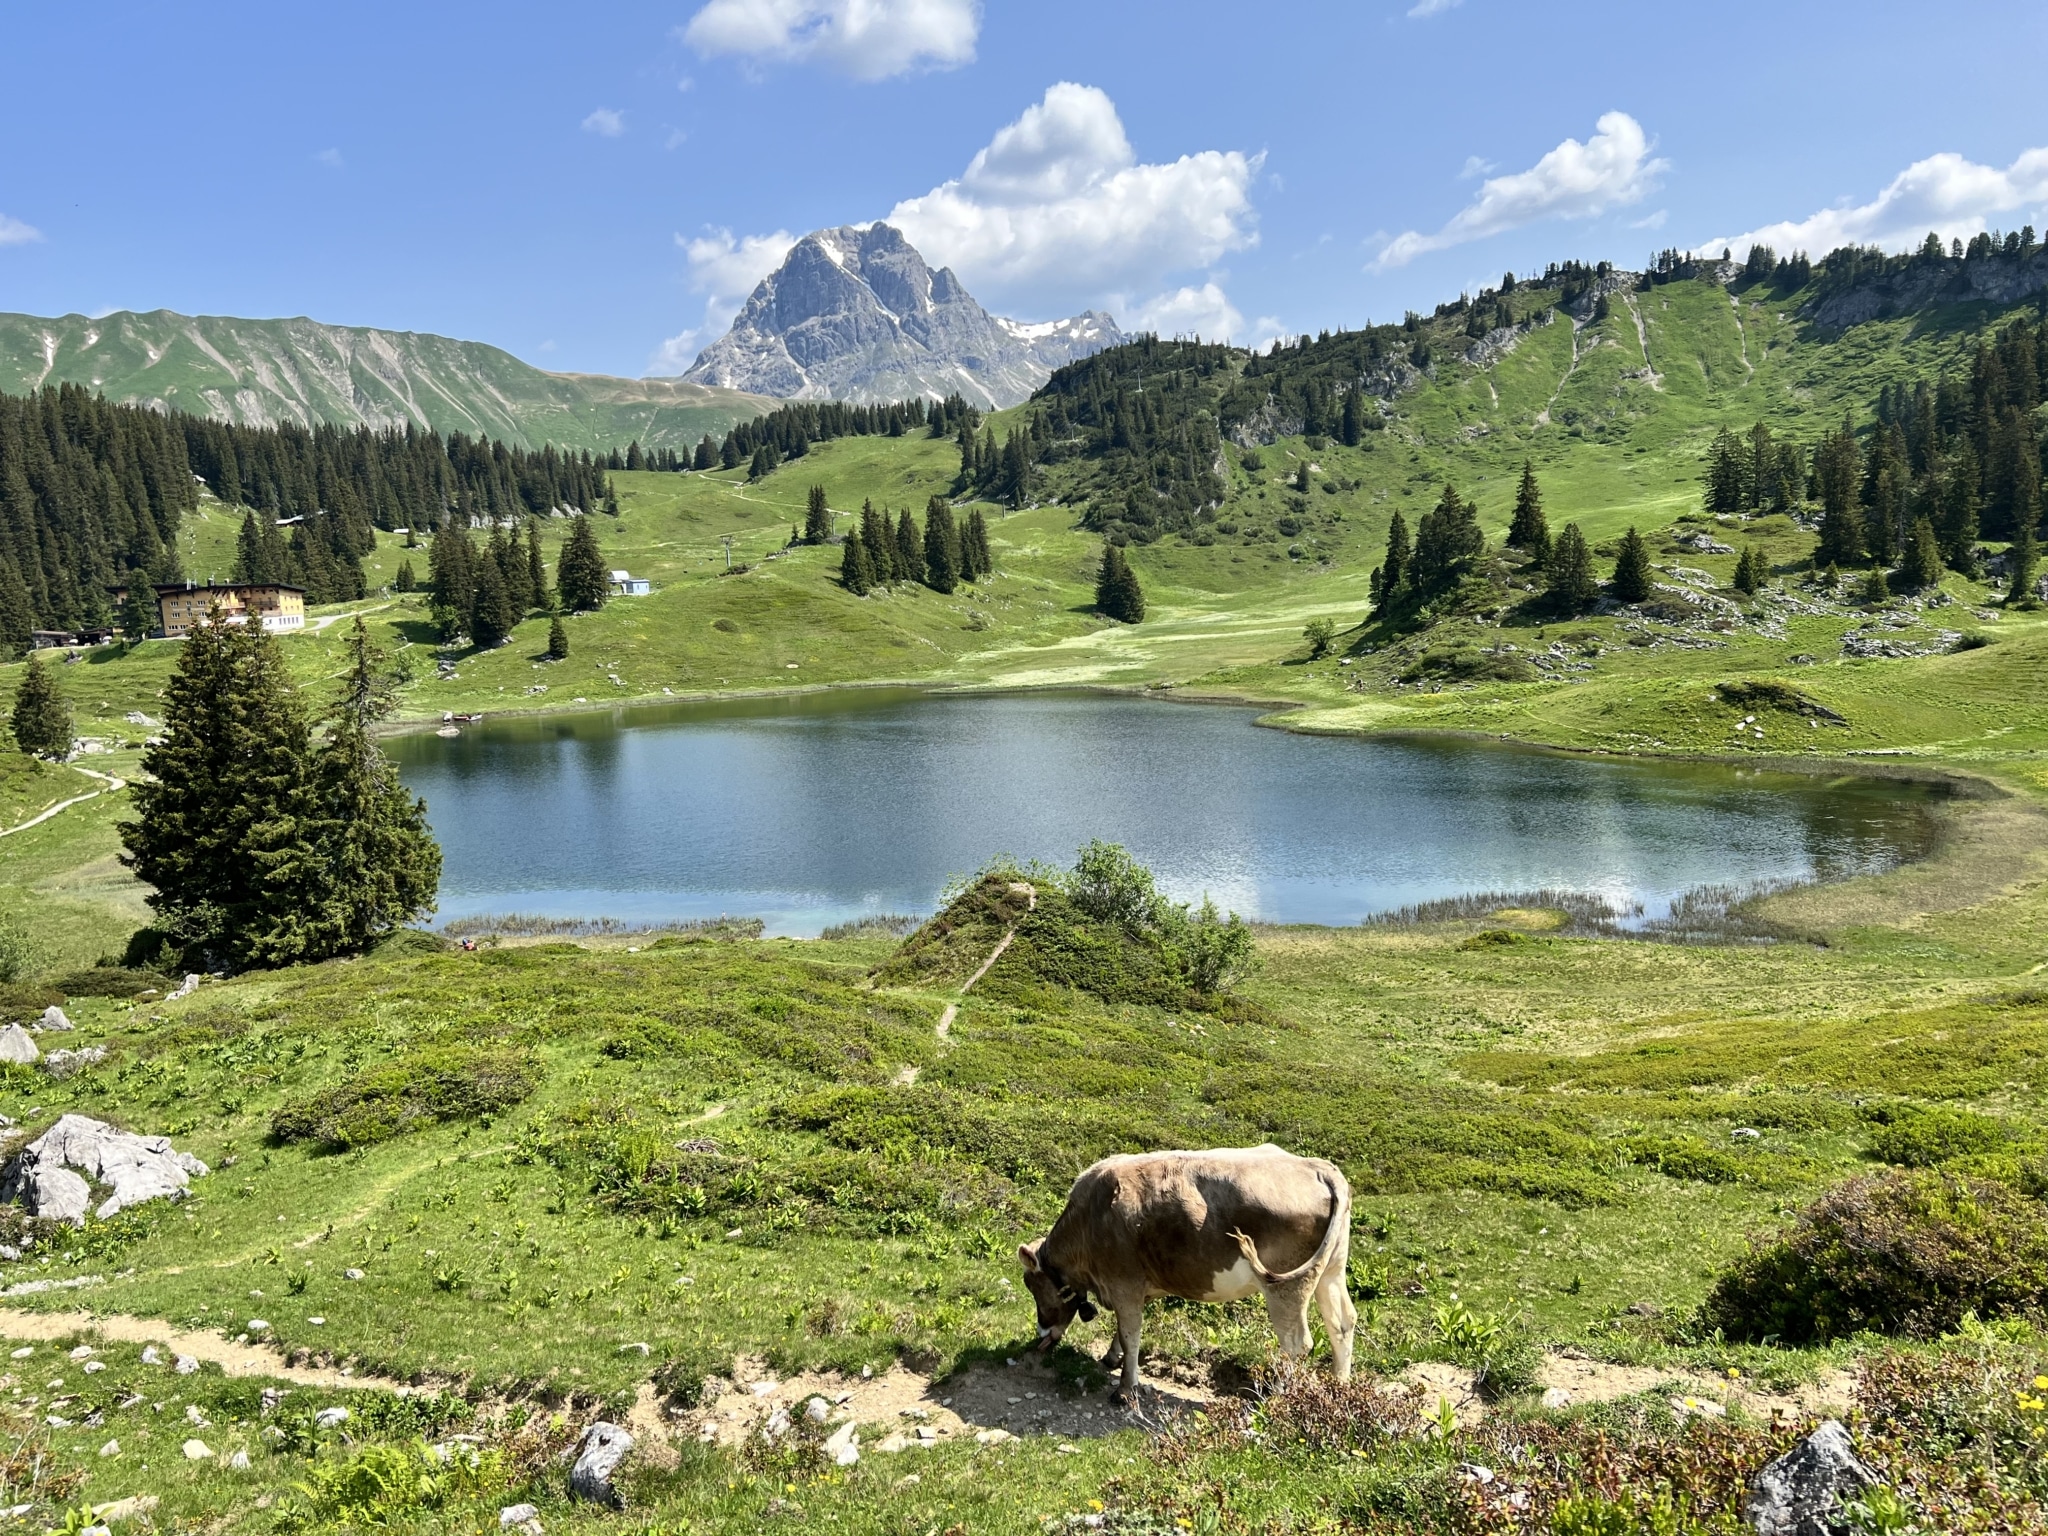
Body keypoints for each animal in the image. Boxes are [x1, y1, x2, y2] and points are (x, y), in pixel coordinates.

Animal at [1018, 1144, 1355, 1401]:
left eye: (1034, 1287)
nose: (1042, 1333)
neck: (1089, 1221)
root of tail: (1318, 1167)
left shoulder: (1124, 1282)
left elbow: (1130, 1334)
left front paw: (1125, 1390)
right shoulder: (1139, 1286)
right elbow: (1123, 1330)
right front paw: (1112, 1357)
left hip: (1286, 1286)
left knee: (1297, 1344)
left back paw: (1277, 1396)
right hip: (1330, 1271)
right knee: (1342, 1323)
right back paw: (1340, 1387)